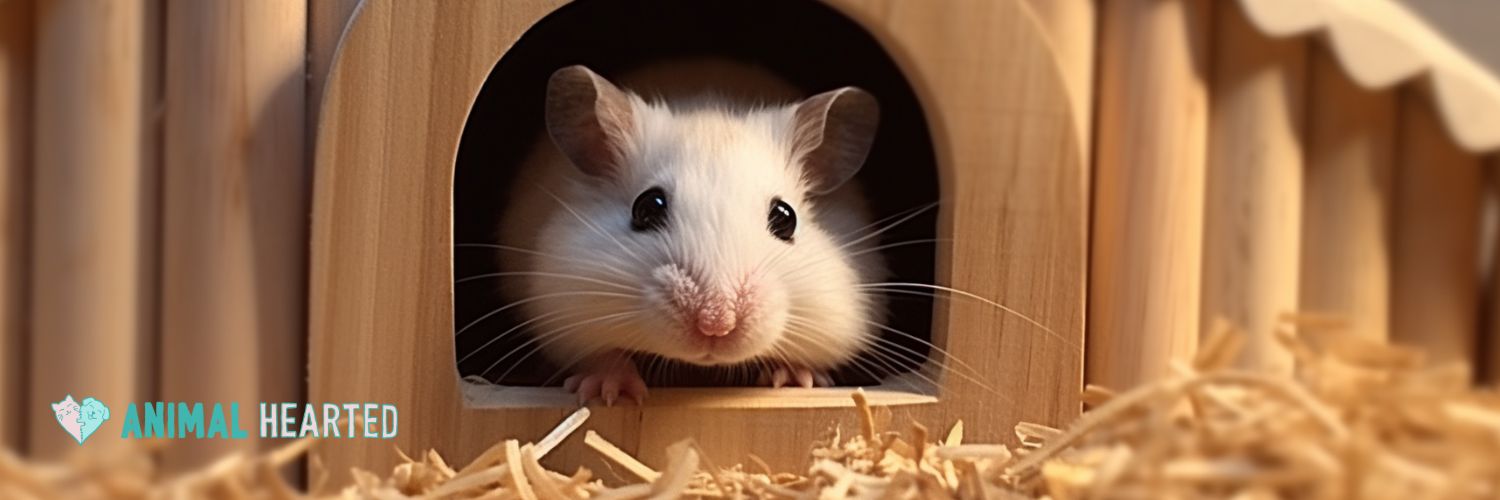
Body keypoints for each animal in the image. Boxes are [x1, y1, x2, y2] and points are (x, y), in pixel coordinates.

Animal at [498, 62, 886, 404]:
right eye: (647, 207)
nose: (716, 324)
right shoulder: (564, 307)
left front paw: (793, 380)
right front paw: (610, 392)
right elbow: (601, 354)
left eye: (785, 218)